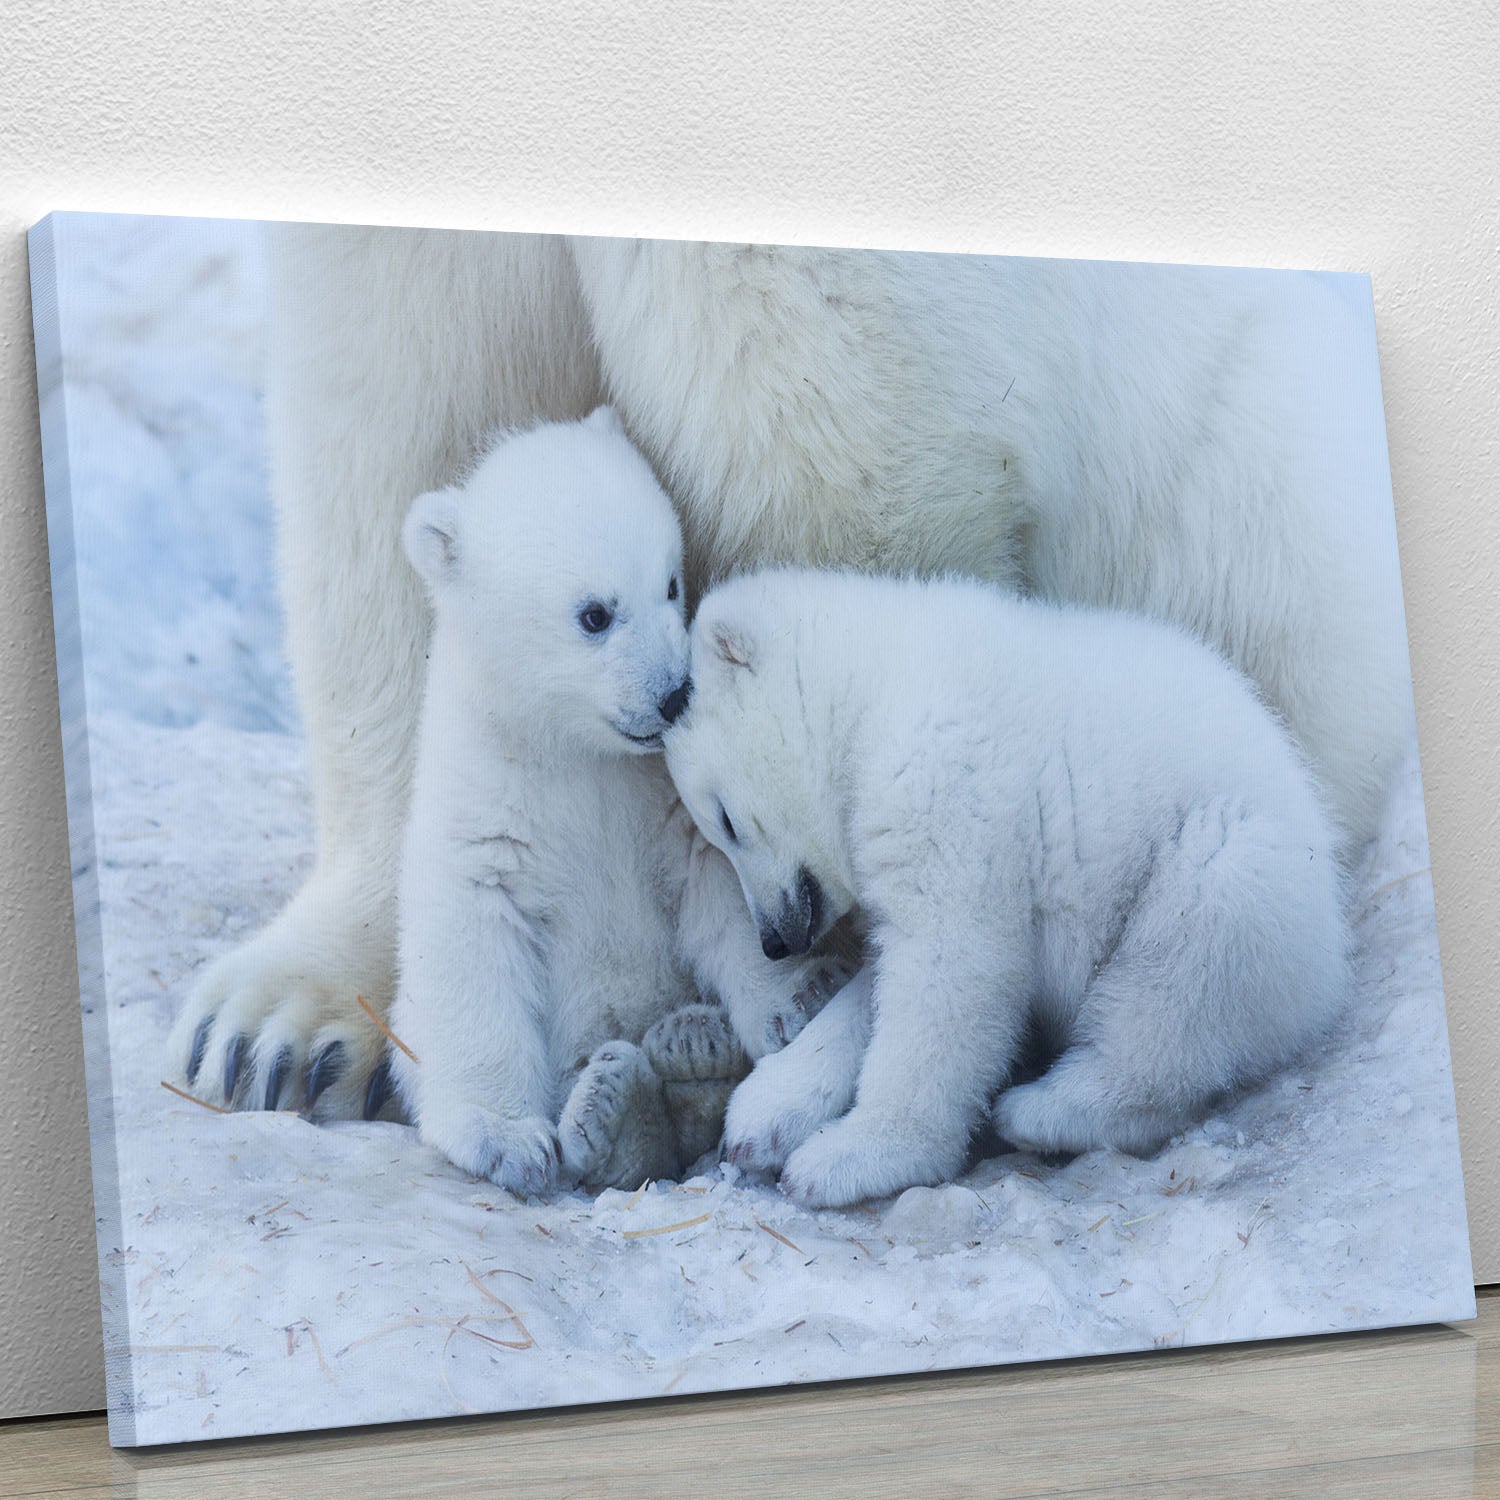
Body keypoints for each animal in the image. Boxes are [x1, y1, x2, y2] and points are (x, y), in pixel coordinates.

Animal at [664, 568, 1352, 1210]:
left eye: (725, 821)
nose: (774, 941)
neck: (874, 687)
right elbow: (884, 977)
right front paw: (766, 1107)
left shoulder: (943, 781)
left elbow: (951, 966)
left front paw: (846, 1156)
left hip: (1232, 866)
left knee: (1173, 984)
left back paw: (1043, 1109)